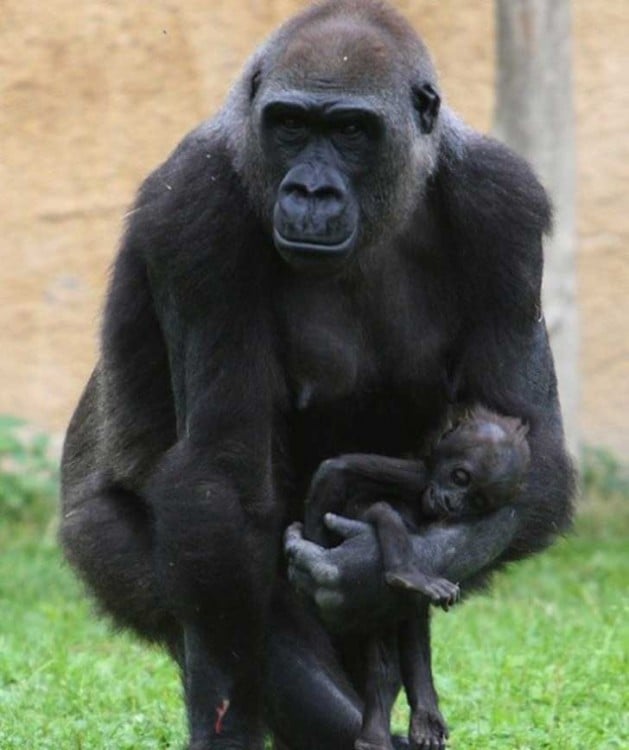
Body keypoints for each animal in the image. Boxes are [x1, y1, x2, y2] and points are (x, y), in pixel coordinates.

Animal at [304, 408, 528, 750]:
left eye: (477, 500)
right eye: (460, 477)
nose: (452, 502)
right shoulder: (417, 476)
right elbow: (336, 470)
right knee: (384, 511)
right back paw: (403, 573)